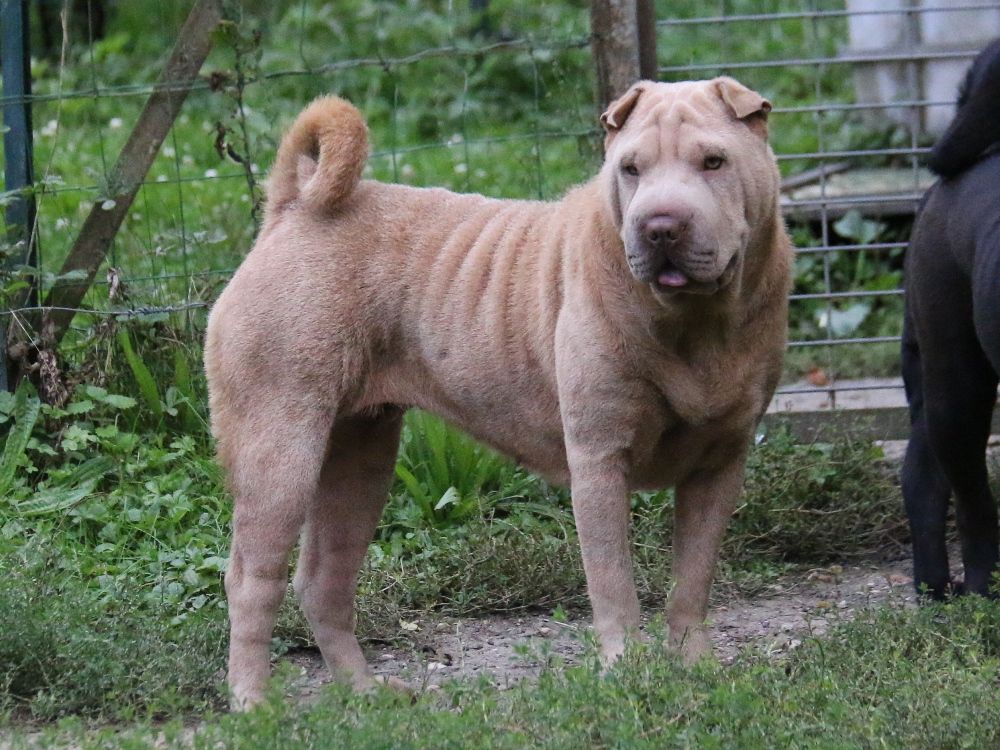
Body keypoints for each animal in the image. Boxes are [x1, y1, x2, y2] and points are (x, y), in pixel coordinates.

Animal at [207, 78, 792, 712]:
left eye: (714, 161)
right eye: (631, 169)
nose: (659, 226)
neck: (696, 324)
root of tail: (291, 209)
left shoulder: (721, 464)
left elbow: (693, 578)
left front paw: (695, 666)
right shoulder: (599, 459)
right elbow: (613, 579)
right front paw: (629, 671)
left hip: (359, 454)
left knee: (322, 580)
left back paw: (366, 690)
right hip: (281, 448)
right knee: (251, 580)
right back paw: (253, 702)